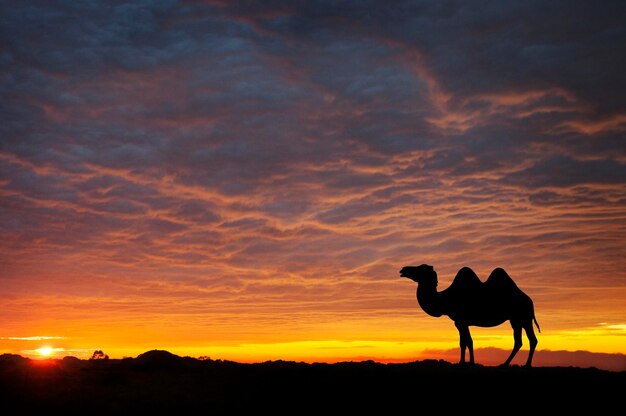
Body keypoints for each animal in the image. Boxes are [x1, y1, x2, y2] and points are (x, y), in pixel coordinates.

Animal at [400, 264, 536, 366]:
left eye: (421, 268)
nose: (403, 269)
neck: (445, 299)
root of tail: (530, 302)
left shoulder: (462, 321)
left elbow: (468, 342)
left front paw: (470, 363)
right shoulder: (458, 323)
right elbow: (463, 342)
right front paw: (462, 362)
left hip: (524, 317)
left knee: (530, 340)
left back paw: (525, 365)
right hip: (516, 319)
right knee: (520, 341)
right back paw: (505, 364)